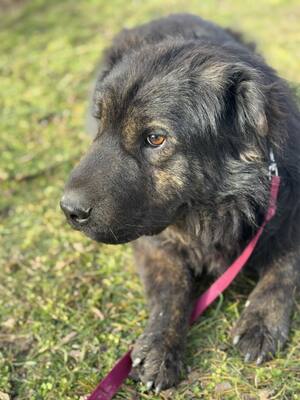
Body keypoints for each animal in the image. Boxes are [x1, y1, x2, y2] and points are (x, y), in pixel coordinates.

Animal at [61, 13, 300, 394]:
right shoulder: (153, 243)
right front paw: (160, 344)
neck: (217, 209)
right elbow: (170, 291)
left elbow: (284, 269)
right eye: (101, 122)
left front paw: (261, 321)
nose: (68, 209)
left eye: (155, 139)